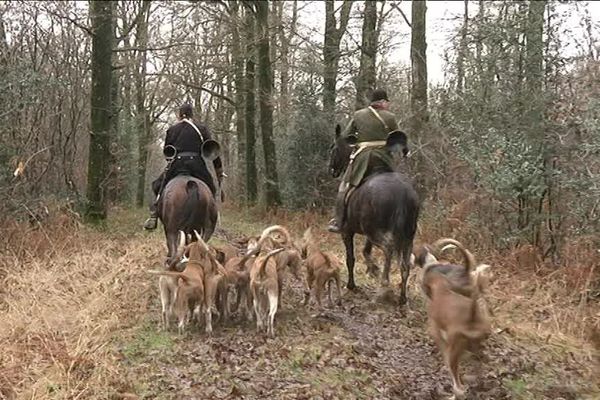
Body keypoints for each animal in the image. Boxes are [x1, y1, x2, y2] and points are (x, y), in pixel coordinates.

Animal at [328, 125, 422, 304]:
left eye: (333, 148)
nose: (332, 170)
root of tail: (402, 195)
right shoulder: (369, 232)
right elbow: (366, 249)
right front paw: (372, 269)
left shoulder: (347, 231)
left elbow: (350, 258)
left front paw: (352, 285)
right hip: (408, 236)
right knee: (405, 265)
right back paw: (402, 297)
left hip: (382, 234)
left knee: (388, 248)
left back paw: (384, 286)